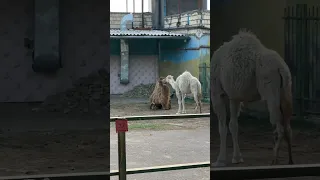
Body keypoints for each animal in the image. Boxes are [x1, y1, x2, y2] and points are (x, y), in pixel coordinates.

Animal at [211, 28, 294, 167]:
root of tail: (281, 68)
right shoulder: (234, 96)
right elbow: (233, 125)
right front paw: (237, 158)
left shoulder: (217, 93)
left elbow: (222, 127)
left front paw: (220, 161)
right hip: (286, 89)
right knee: (288, 125)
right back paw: (290, 161)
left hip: (270, 88)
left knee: (278, 127)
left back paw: (274, 160)